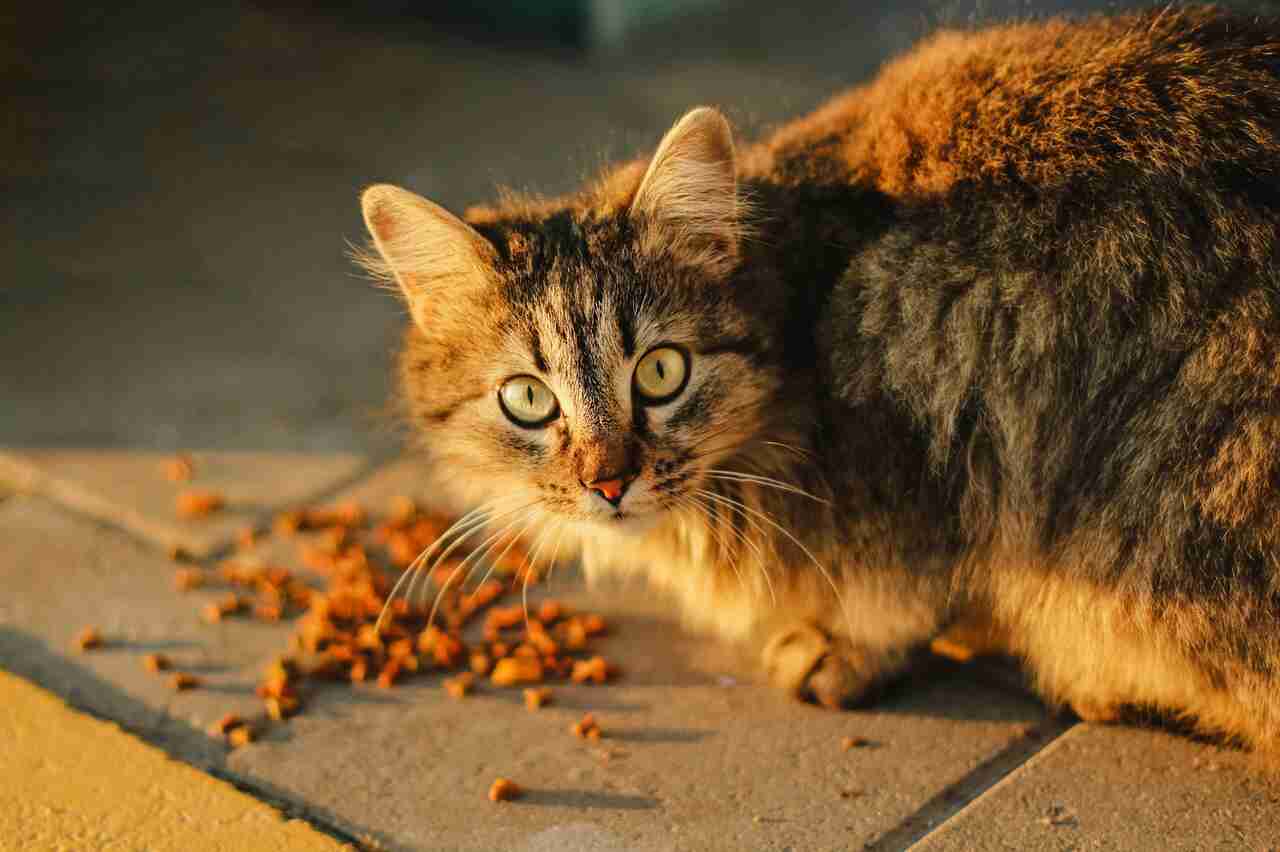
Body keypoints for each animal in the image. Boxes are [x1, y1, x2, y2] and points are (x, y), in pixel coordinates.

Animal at [355, 4, 1280, 752]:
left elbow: (895, 587)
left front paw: (842, 646)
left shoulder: (924, 427)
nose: (609, 483)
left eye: (660, 371)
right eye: (527, 398)